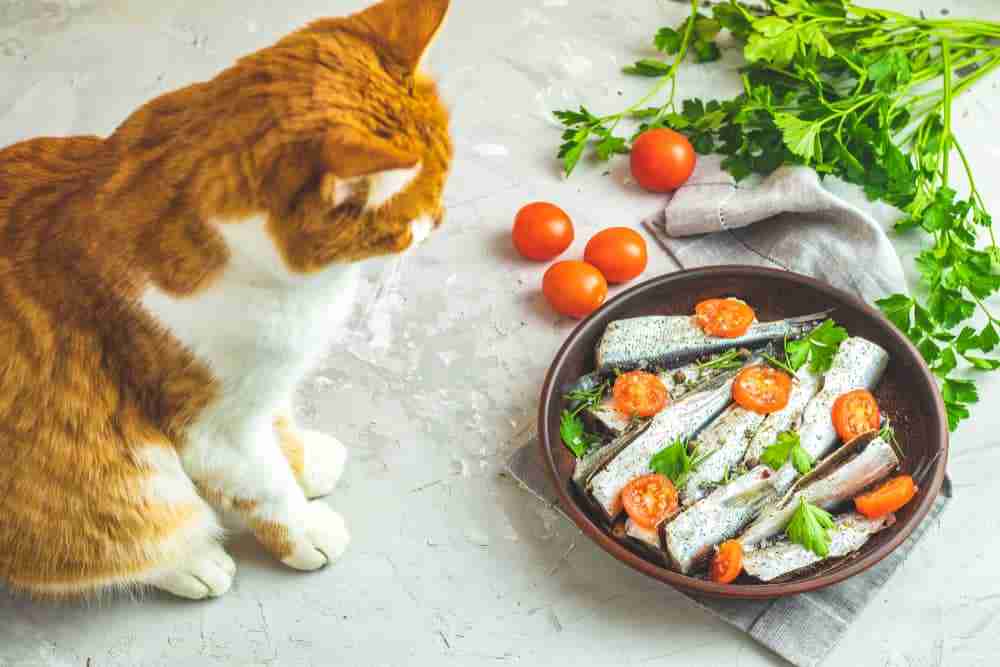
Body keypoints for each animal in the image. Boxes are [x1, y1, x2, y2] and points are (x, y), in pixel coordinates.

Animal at [0, 0, 454, 600]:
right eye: (411, 219)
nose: (442, 220)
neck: (308, 292)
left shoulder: (267, 379)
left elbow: (280, 427)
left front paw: (306, 461)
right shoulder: (213, 426)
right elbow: (264, 486)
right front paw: (304, 529)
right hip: (116, 487)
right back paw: (194, 563)